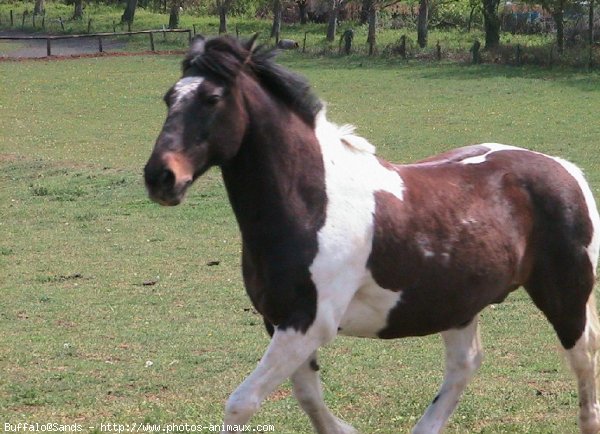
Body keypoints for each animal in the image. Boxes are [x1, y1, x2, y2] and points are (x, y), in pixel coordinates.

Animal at [142, 35, 600, 432]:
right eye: (168, 98)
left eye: (213, 99)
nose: (161, 177)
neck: (312, 205)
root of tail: (565, 169)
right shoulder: (279, 322)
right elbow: (308, 396)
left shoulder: (308, 323)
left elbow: (241, 404)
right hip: (458, 304)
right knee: (464, 365)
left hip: (566, 298)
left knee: (584, 359)